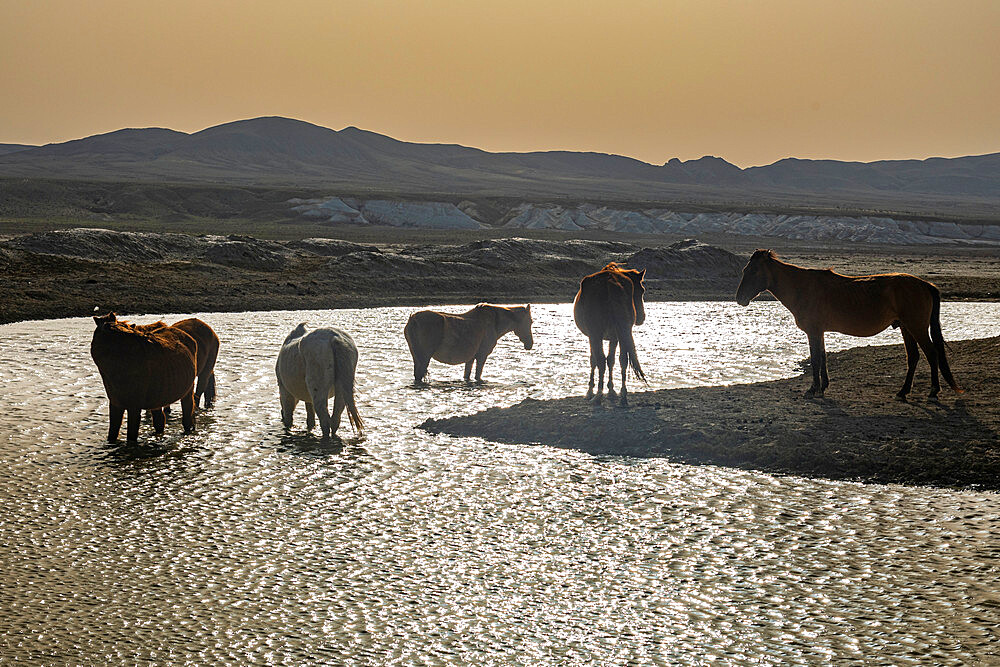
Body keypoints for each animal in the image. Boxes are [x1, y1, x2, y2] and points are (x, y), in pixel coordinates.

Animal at [91, 314, 198, 444]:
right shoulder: (115, 403)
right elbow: (112, 434)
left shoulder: (134, 407)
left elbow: (131, 437)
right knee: (160, 422)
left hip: (188, 391)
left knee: (187, 416)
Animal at [402, 304, 536, 384]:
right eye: (530, 321)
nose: (530, 344)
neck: (494, 323)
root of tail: (412, 319)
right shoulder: (482, 356)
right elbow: (478, 375)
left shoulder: (470, 359)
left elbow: (467, 376)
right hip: (424, 358)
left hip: (416, 357)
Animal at [572, 262, 648, 408]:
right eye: (641, 290)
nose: (641, 317)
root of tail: (610, 282)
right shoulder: (615, 337)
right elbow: (612, 360)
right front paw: (612, 390)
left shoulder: (592, 336)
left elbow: (594, 360)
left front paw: (590, 391)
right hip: (622, 332)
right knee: (623, 360)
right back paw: (623, 396)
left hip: (596, 334)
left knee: (601, 361)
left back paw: (598, 396)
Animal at [736, 248, 960, 400]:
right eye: (745, 269)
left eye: (753, 271)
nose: (739, 299)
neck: (802, 288)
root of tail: (925, 284)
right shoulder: (819, 332)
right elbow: (823, 357)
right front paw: (823, 387)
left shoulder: (813, 331)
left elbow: (815, 359)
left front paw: (812, 389)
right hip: (906, 328)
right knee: (913, 357)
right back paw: (903, 391)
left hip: (917, 327)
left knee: (931, 353)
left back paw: (933, 391)